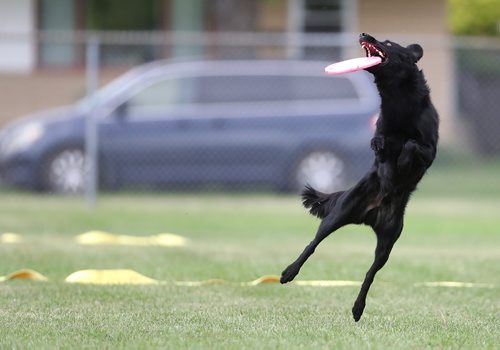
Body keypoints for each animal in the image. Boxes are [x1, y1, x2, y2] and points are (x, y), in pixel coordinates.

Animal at [280, 33, 440, 322]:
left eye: (388, 43)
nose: (364, 35)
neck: (398, 98)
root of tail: (369, 215)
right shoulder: (382, 134)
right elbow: (382, 143)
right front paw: (382, 145)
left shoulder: (430, 150)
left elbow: (412, 145)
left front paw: (402, 154)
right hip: (337, 215)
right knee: (312, 245)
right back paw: (289, 272)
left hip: (388, 239)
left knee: (370, 273)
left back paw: (357, 307)